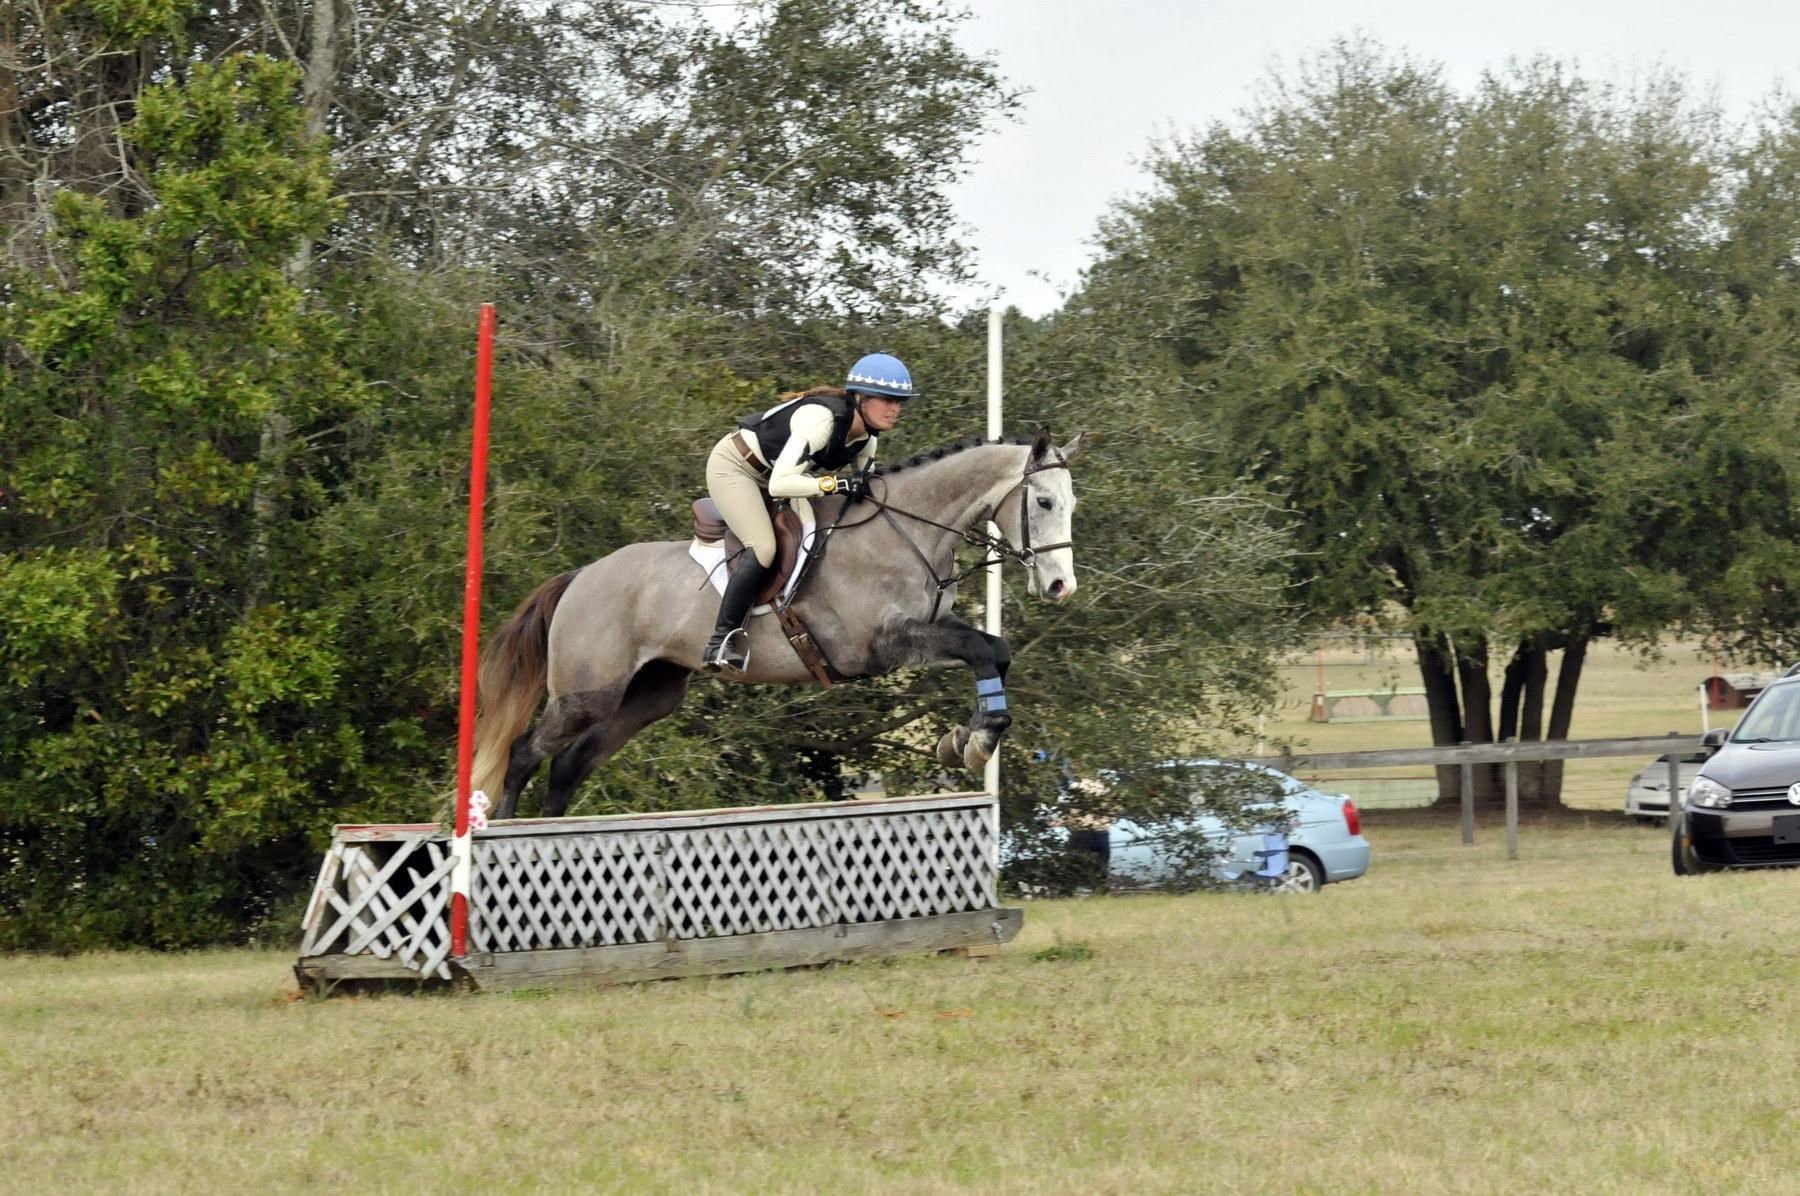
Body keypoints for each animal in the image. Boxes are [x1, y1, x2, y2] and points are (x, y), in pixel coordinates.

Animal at [470, 427, 1083, 818]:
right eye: (1044, 502)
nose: (1061, 587)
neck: (907, 529)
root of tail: (579, 578)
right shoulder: (878, 645)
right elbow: (982, 650)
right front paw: (973, 743)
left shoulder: (927, 630)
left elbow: (993, 649)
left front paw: (969, 739)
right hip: (587, 694)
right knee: (524, 754)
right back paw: (505, 835)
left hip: (647, 695)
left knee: (567, 767)